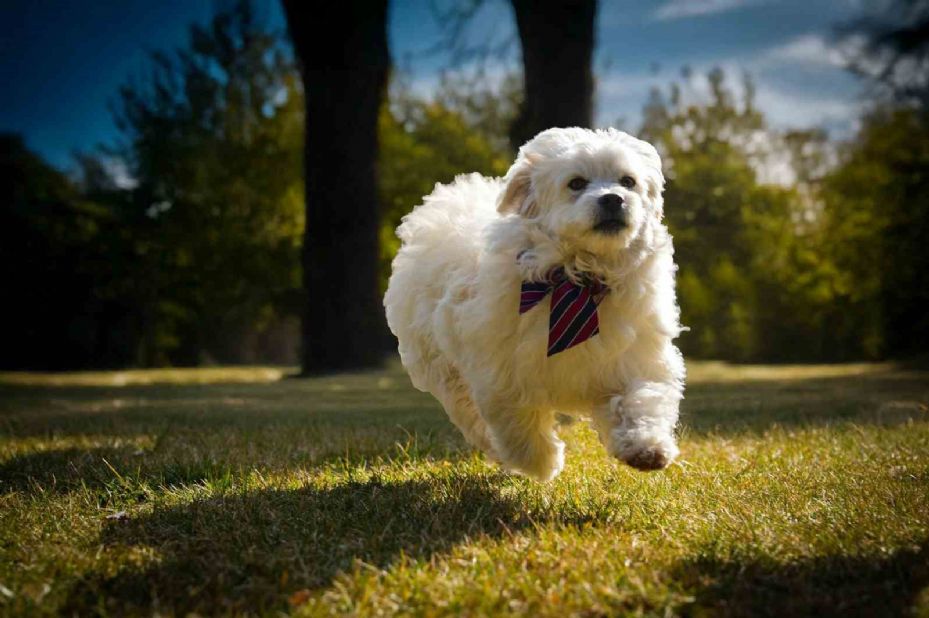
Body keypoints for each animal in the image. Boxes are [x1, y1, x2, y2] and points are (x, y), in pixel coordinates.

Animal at [382, 126, 680, 482]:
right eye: (576, 183)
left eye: (627, 181)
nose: (612, 198)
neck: (578, 279)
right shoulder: (499, 371)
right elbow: (516, 421)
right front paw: (541, 462)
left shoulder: (633, 358)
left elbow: (642, 397)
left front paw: (646, 446)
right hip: (446, 370)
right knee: (472, 415)